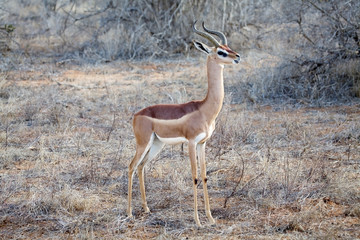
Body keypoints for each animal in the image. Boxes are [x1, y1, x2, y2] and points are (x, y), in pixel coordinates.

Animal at [128, 21, 240, 226]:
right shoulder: (191, 142)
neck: (204, 109)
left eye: (228, 47)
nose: (237, 57)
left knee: (141, 166)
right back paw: (130, 213)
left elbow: (204, 176)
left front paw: (210, 218)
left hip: (157, 144)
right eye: (221, 52)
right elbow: (194, 176)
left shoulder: (203, 143)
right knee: (131, 166)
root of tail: (137, 114)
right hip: (143, 143)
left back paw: (147, 209)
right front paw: (197, 220)